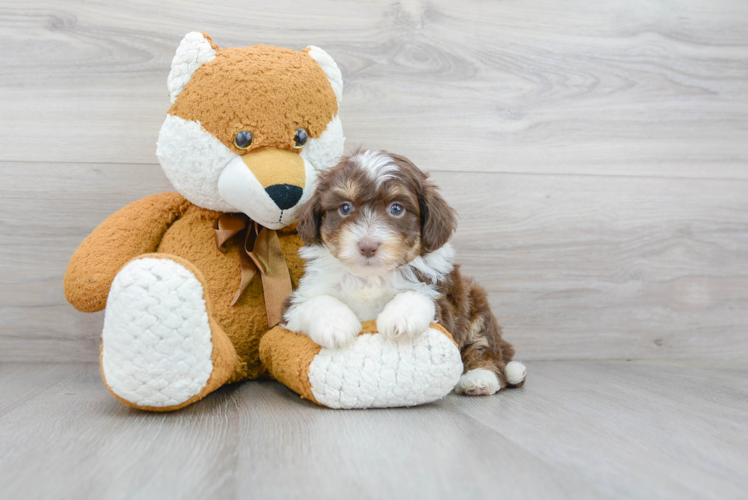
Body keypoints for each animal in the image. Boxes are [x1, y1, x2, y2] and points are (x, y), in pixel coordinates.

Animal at [282, 148, 524, 394]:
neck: (370, 278)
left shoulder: (442, 299)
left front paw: (401, 318)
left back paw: (480, 378)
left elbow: (416, 294)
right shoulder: (296, 301)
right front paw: (335, 325)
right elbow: (317, 302)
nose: (367, 246)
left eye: (396, 209)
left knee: (485, 348)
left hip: (476, 305)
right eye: (345, 208)